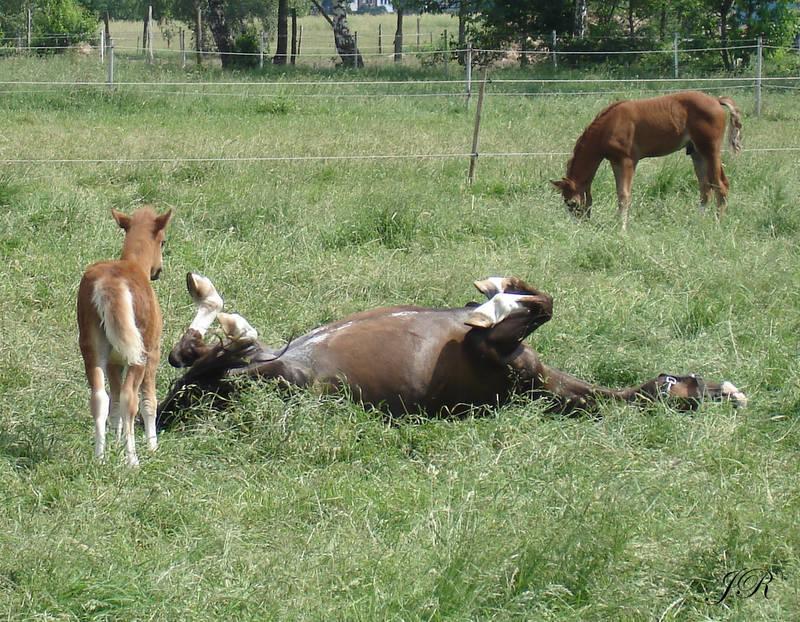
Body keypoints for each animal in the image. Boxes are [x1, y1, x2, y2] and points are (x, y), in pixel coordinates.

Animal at [77, 207, 173, 466]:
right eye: (163, 241)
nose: (158, 271)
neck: (134, 263)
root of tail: (111, 282)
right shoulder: (153, 353)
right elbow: (148, 401)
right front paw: (152, 447)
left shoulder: (113, 361)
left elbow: (116, 402)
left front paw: (116, 441)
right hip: (139, 353)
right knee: (132, 398)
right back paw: (133, 461)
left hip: (92, 345)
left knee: (100, 397)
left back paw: (99, 457)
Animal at [158, 272, 752, 428]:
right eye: (691, 385)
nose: (719, 388)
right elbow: (537, 300)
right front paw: (497, 289)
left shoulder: (491, 351)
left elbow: (539, 306)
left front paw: (495, 297)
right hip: (251, 369)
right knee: (192, 354)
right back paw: (209, 299)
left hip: (269, 377)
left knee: (213, 356)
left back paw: (222, 315)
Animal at [552, 91, 744, 230]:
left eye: (573, 202)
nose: (578, 225)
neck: (608, 127)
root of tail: (716, 100)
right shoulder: (615, 161)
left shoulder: (627, 161)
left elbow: (624, 195)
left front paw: (621, 229)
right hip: (696, 152)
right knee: (705, 187)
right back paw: (698, 221)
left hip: (709, 150)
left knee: (721, 184)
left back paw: (717, 223)